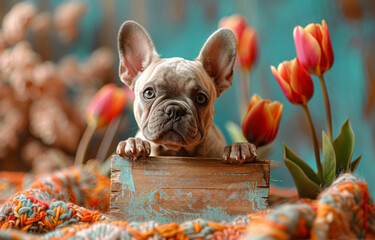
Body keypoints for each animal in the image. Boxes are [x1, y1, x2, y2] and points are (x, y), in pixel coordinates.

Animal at [116, 21, 258, 163]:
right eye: (149, 93)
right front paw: (134, 143)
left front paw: (239, 147)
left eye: (201, 98)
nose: (174, 110)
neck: (174, 151)